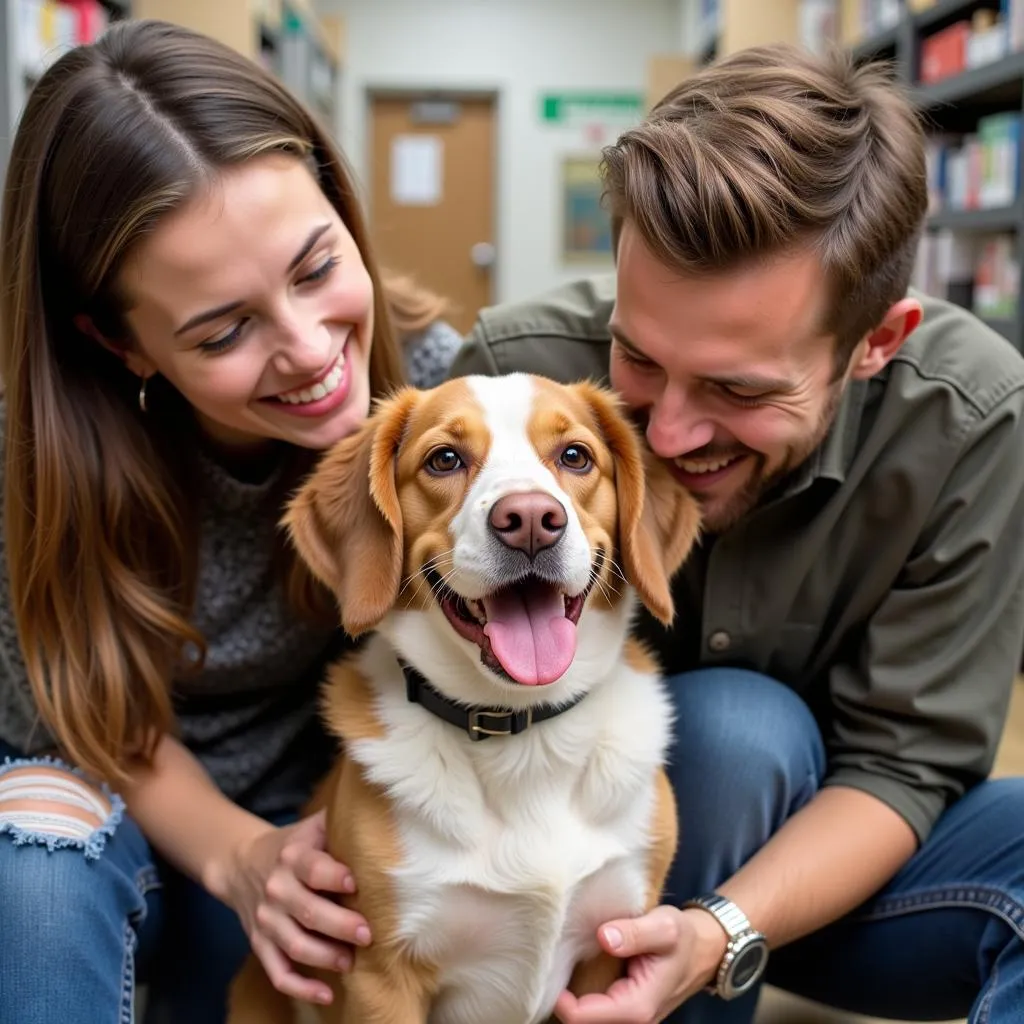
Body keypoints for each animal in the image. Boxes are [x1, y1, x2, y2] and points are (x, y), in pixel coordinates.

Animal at [228, 374, 700, 1024]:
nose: (531, 519)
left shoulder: (609, 952)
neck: (523, 735)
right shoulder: (381, 978)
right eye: (444, 459)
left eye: (575, 456)